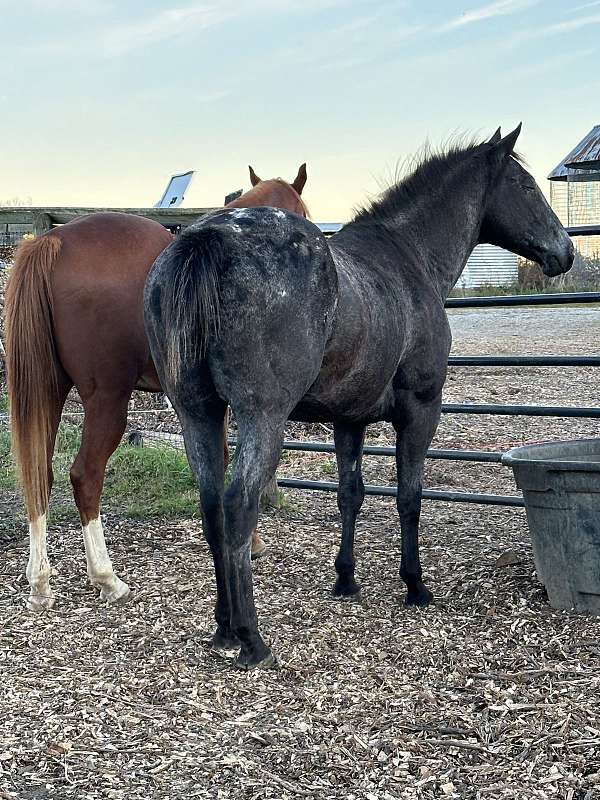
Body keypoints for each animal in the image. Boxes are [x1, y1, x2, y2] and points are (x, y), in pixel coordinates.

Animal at [5, 164, 310, 612]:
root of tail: (53, 241)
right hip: (107, 400)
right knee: (85, 475)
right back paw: (107, 578)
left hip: (50, 393)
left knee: (40, 475)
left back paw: (40, 583)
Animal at [143, 126, 576, 668]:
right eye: (525, 186)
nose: (566, 252)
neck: (408, 258)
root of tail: (206, 239)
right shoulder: (421, 410)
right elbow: (409, 496)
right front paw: (414, 585)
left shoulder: (348, 420)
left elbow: (351, 494)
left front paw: (345, 579)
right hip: (262, 418)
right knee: (238, 505)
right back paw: (251, 638)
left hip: (197, 415)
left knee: (211, 508)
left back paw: (223, 627)